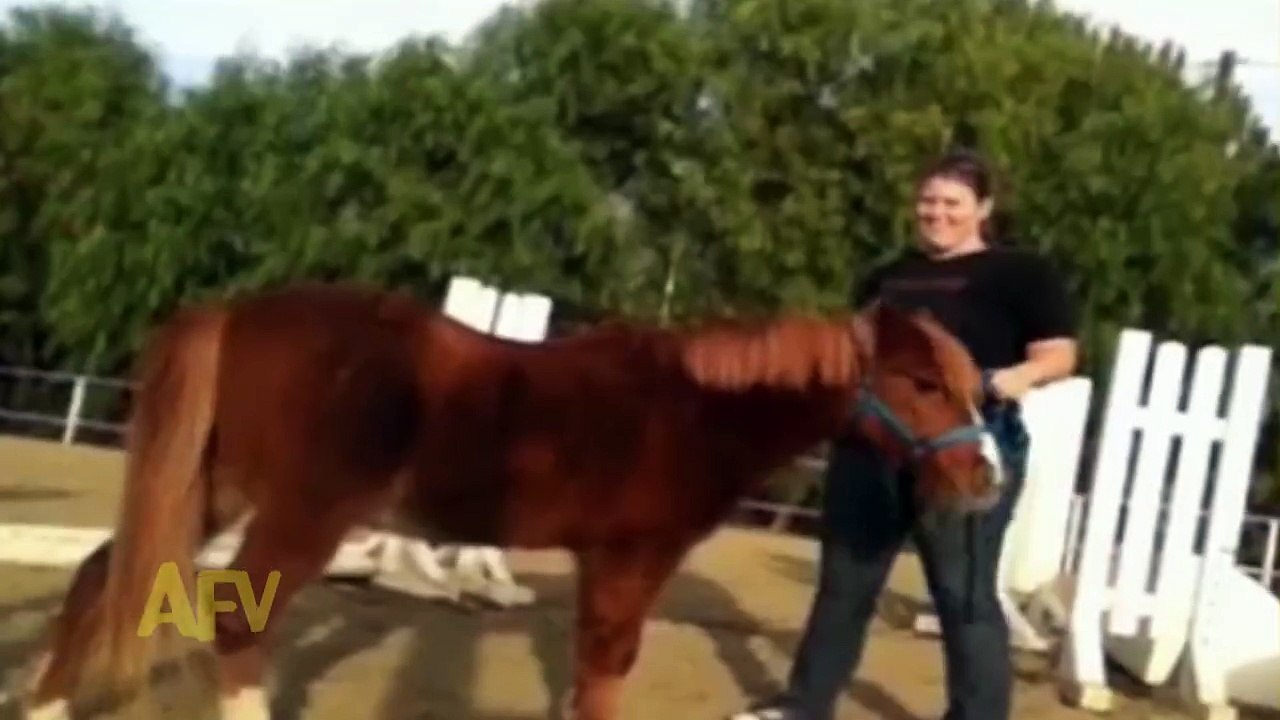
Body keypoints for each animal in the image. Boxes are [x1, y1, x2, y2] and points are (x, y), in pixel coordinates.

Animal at [16, 281, 1002, 720]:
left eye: (965, 380)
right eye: (921, 383)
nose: (983, 477)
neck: (687, 408)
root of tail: (237, 313)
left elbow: (592, 673)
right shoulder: (631, 557)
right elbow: (604, 674)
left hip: (214, 488)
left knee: (103, 576)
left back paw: (47, 702)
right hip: (302, 511)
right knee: (237, 617)